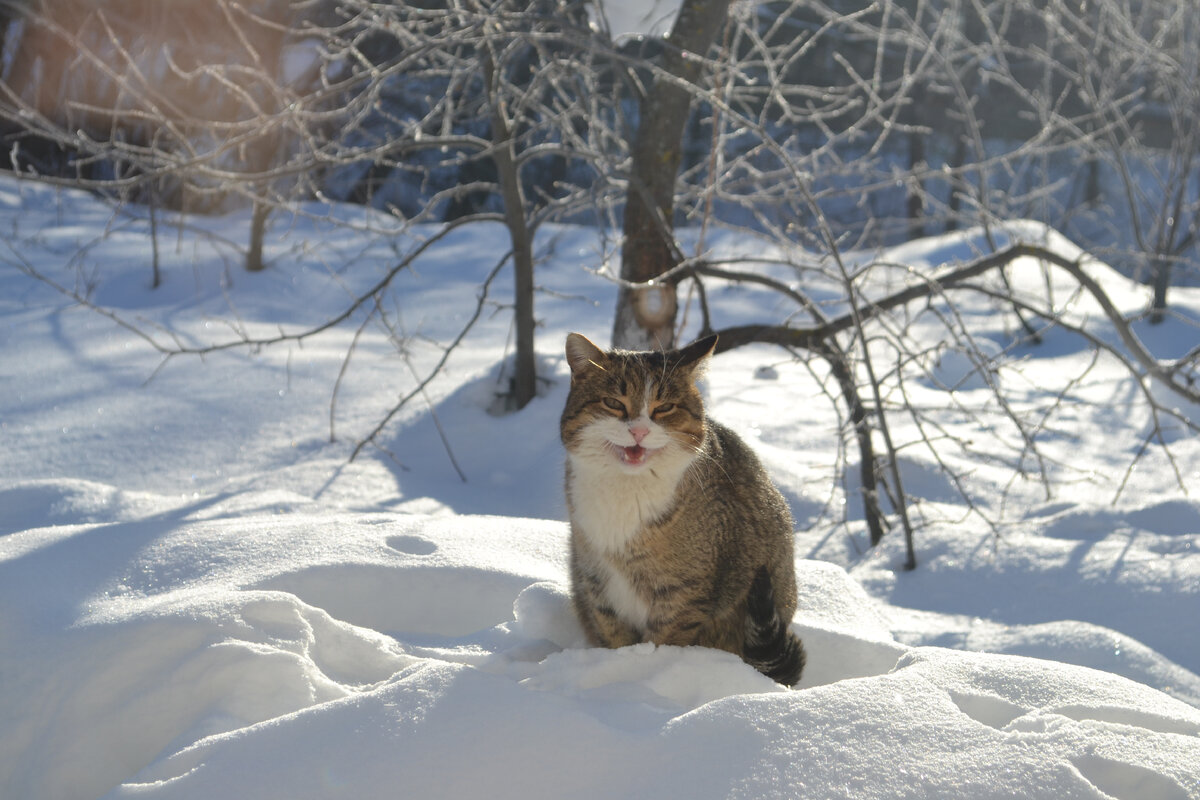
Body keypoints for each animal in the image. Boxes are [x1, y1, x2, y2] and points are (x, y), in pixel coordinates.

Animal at [561, 331, 806, 690]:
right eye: (614, 403)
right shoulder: (596, 585)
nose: (639, 431)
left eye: (664, 408)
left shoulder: (683, 595)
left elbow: (662, 644)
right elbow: (614, 639)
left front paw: (641, 678)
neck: (627, 492)